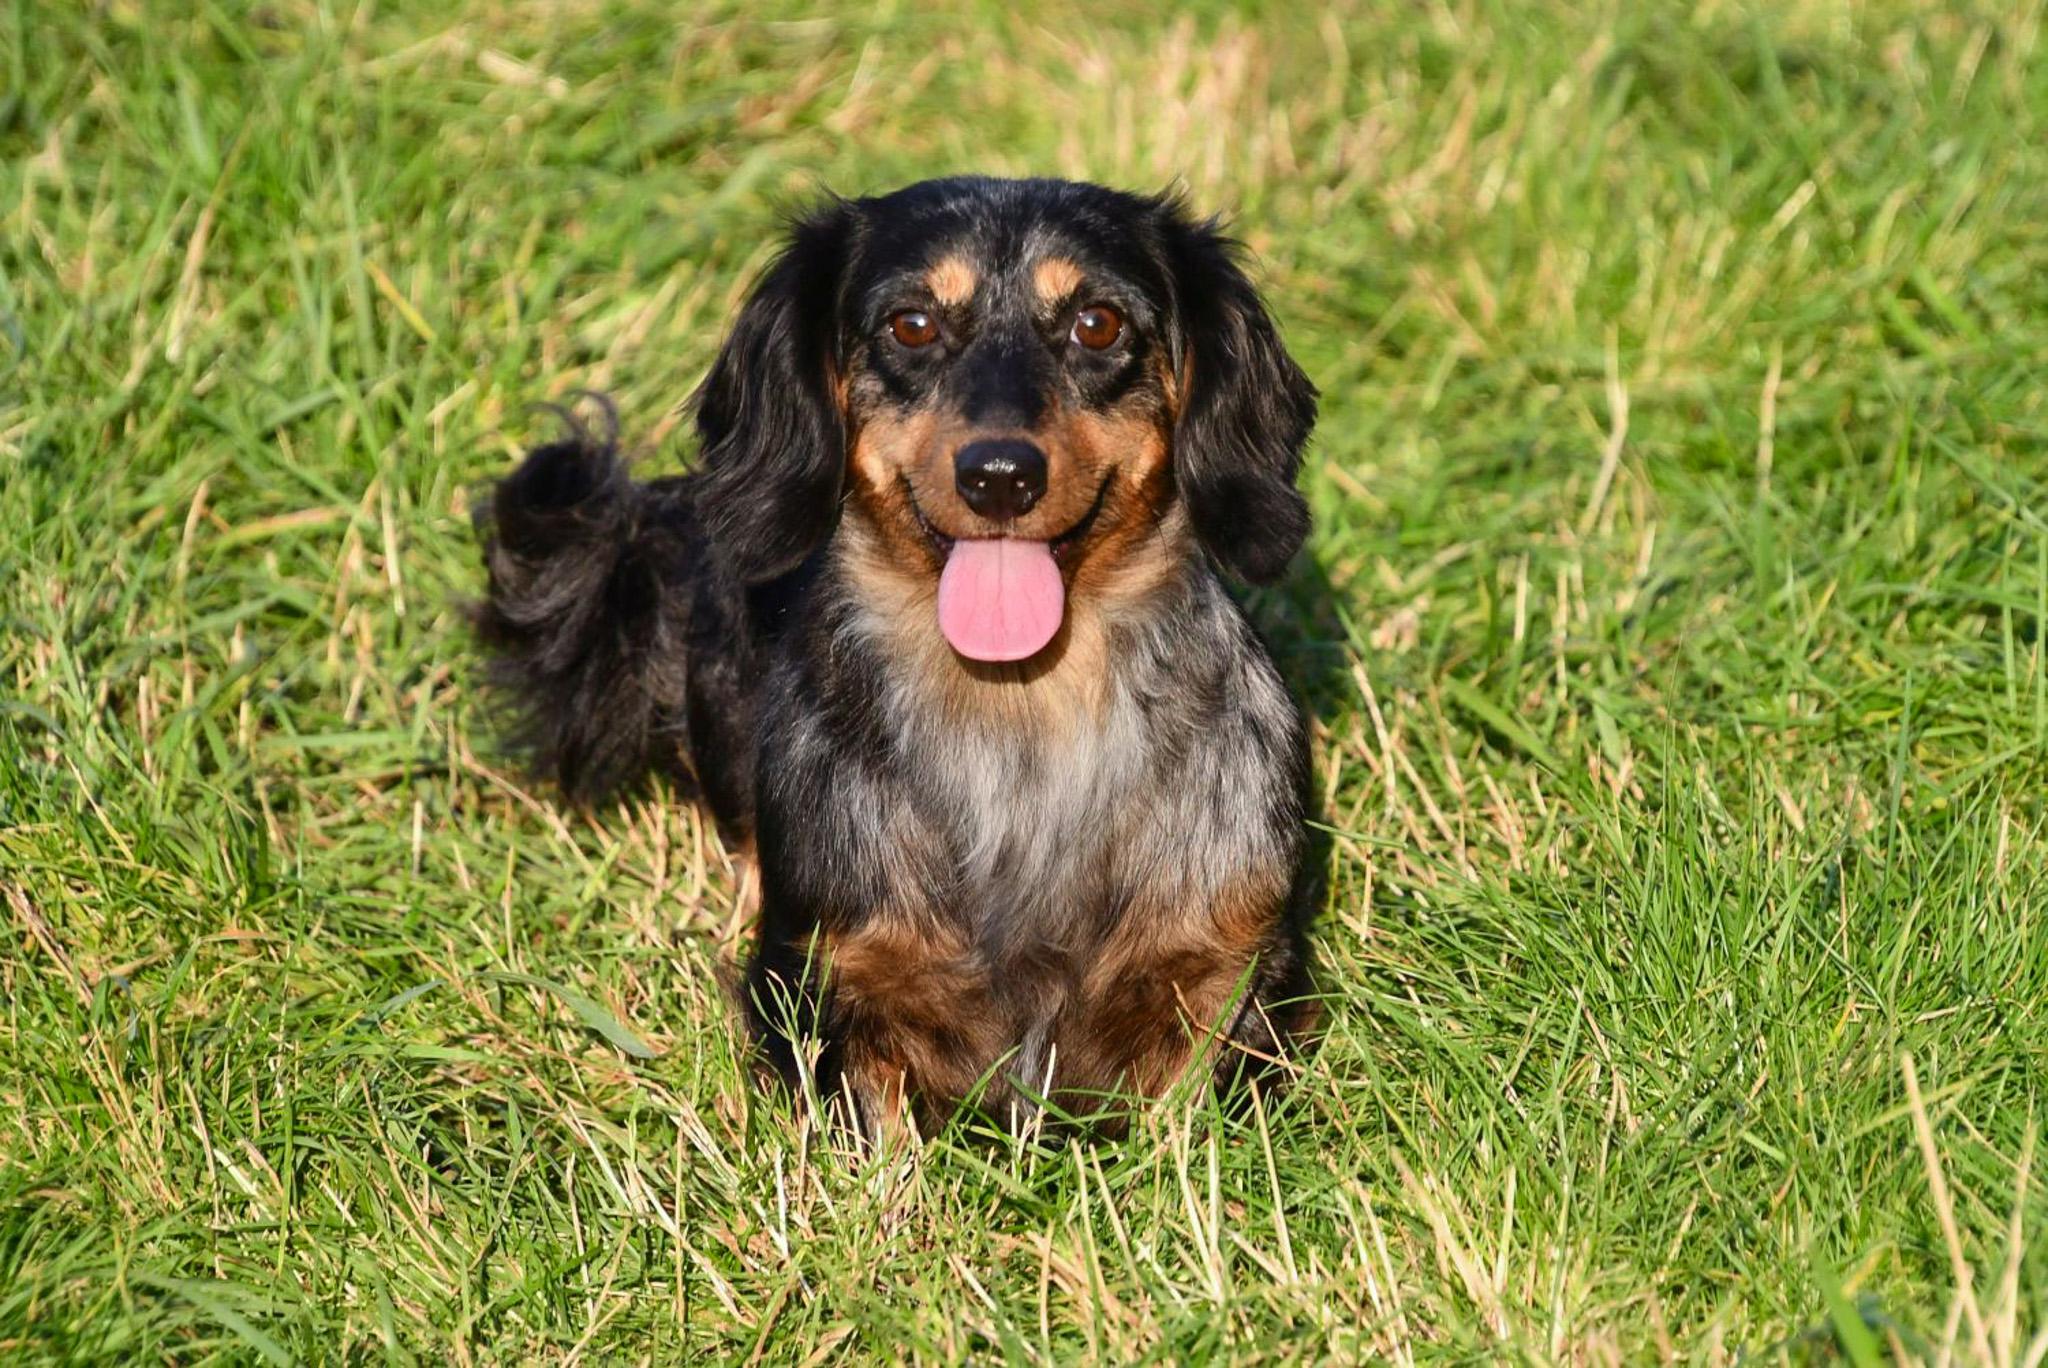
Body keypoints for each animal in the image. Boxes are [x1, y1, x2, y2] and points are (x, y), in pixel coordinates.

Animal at [471, 176, 1318, 1130]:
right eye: (911, 325)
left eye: (1096, 324)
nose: (999, 477)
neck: (1017, 712)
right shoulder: (827, 981)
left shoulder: (1231, 964)